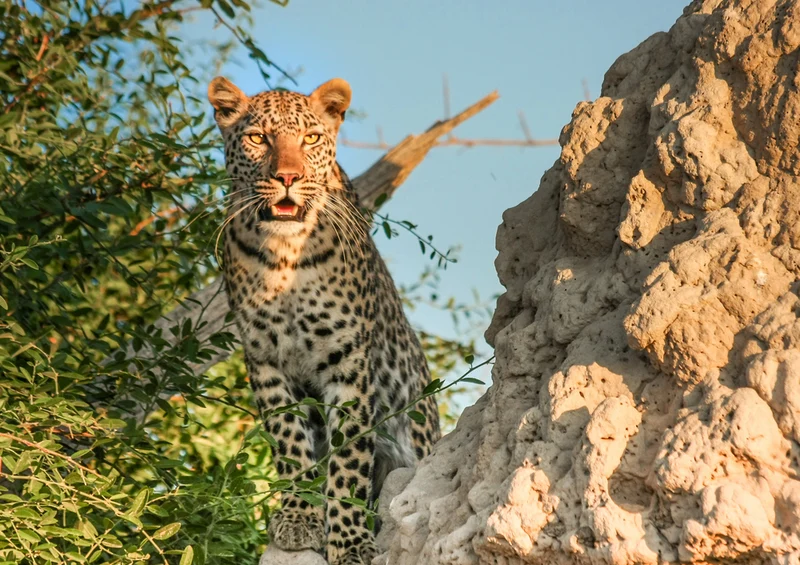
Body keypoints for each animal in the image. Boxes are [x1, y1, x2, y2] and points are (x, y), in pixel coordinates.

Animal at [207, 76, 440, 565]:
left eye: (311, 139)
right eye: (258, 138)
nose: (287, 178)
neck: (284, 256)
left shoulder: (347, 361)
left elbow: (349, 459)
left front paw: (350, 542)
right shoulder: (265, 360)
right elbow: (289, 442)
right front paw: (298, 519)